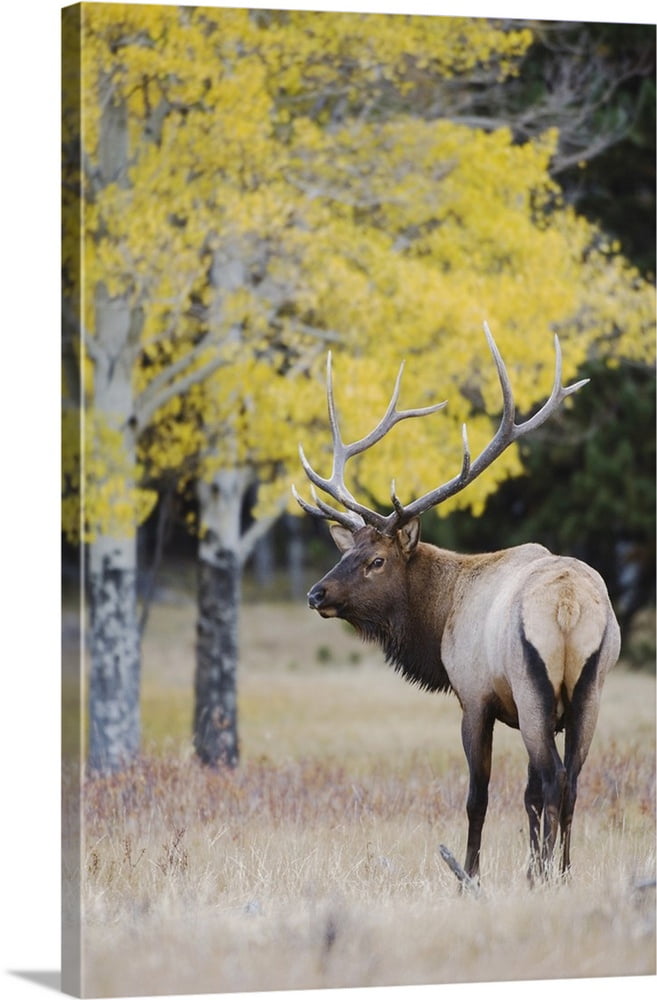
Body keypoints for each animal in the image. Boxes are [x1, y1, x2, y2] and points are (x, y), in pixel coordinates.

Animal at [293, 324, 620, 885]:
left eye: (376, 560)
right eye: (346, 551)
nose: (318, 594)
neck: (441, 615)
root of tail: (568, 606)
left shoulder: (475, 696)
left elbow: (479, 797)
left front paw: (471, 875)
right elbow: (526, 795)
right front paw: (530, 866)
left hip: (532, 687)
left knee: (553, 777)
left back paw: (541, 875)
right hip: (590, 690)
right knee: (571, 780)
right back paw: (562, 873)